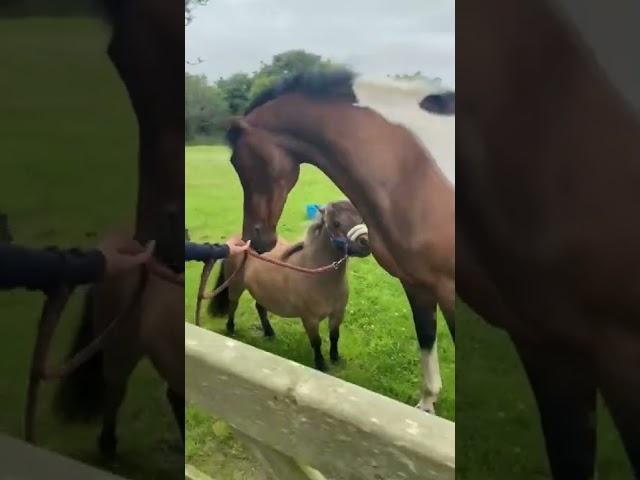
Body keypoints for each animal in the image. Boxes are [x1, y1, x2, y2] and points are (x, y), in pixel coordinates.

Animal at [210, 199, 370, 372]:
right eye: (336, 223)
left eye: (361, 218)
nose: (365, 242)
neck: (316, 273)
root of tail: (234, 242)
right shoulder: (310, 319)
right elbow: (316, 341)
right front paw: (321, 365)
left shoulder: (337, 313)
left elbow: (334, 336)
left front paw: (335, 359)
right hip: (235, 286)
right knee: (233, 305)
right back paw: (231, 329)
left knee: (260, 308)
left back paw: (269, 333)